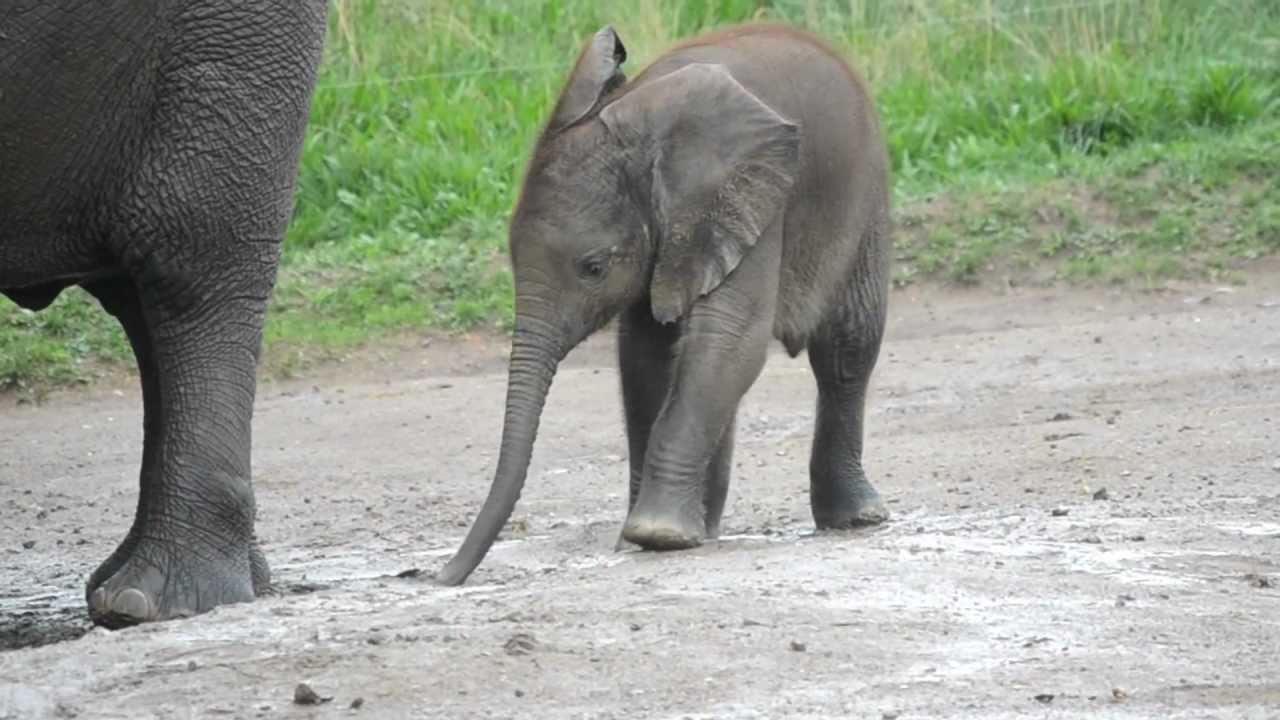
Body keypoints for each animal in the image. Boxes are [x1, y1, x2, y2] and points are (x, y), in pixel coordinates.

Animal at [438, 22, 892, 586]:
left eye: (593, 268)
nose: (441, 576)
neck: (644, 124)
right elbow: (645, 353)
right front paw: (644, 539)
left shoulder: (746, 199)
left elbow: (730, 338)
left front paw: (656, 534)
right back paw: (708, 529)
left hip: (865, 195)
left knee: (846, 347)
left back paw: (855, 519)